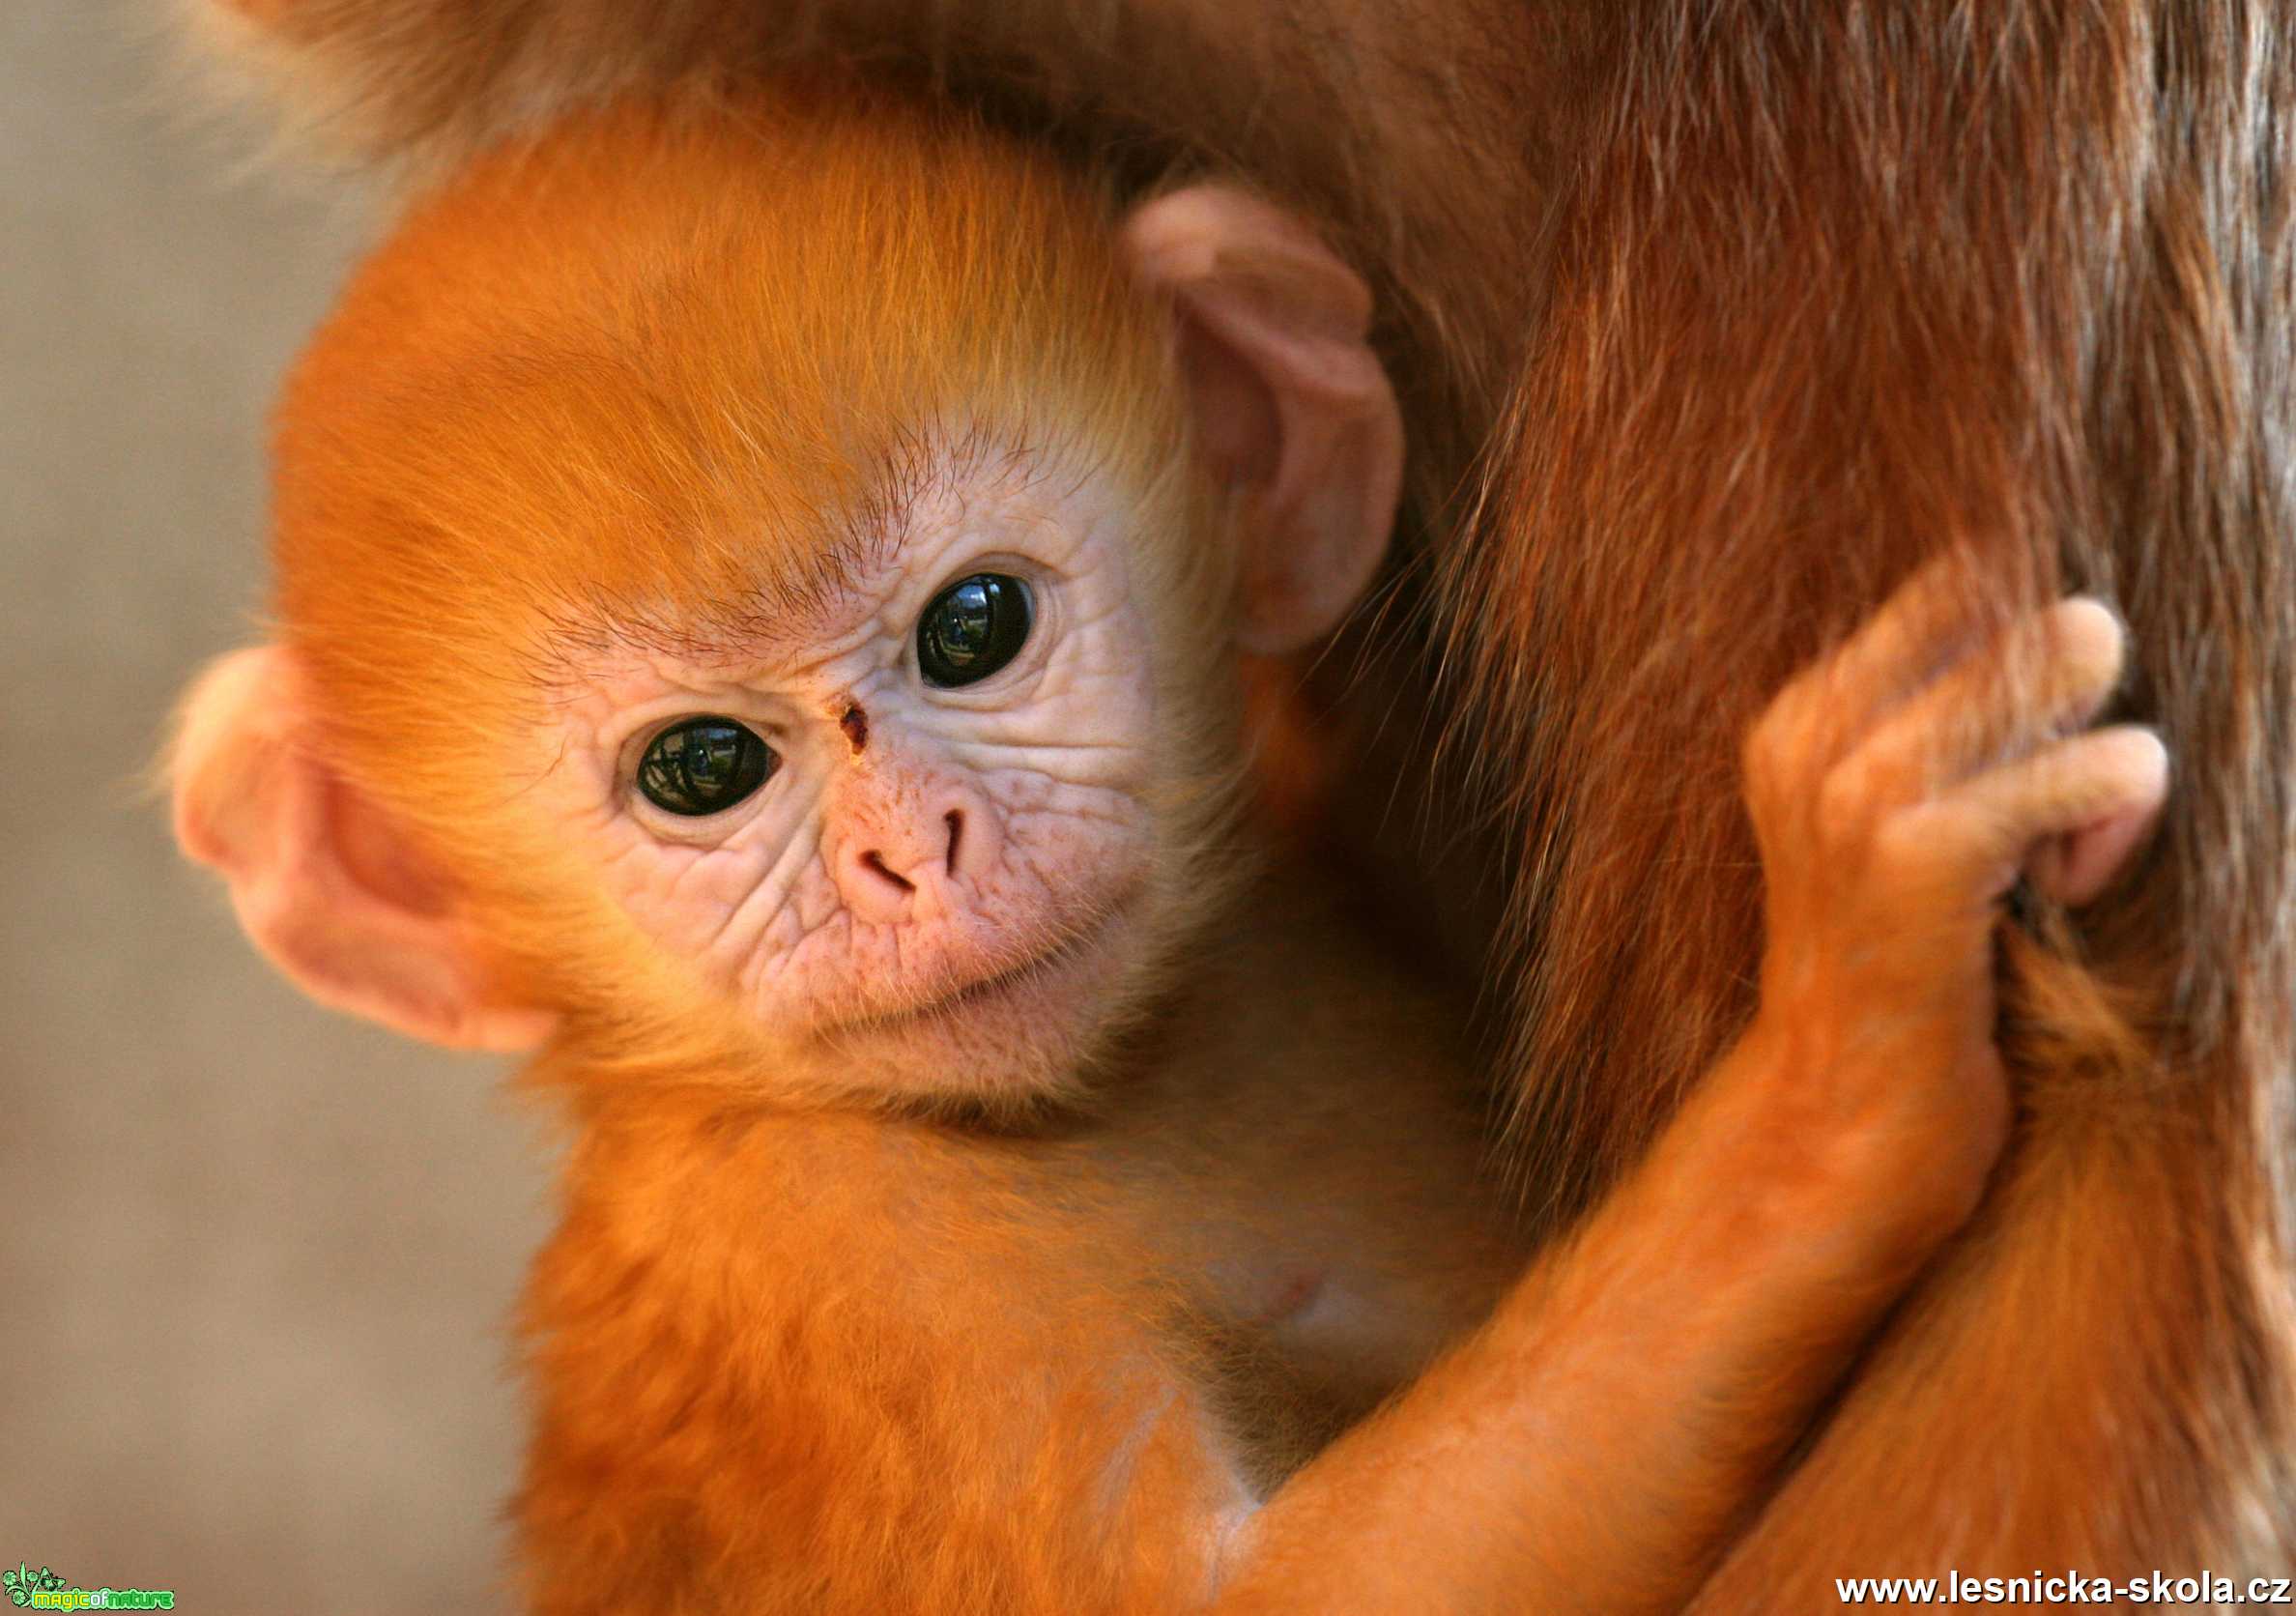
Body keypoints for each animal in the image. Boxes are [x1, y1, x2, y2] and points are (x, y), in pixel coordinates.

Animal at [184, 0, 2296, 1598]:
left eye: (975, 626)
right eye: (701, 769)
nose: (911, 854)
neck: (1118, 1086)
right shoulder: (833, 1256)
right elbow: (1287, 1587)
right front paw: (1843, 1044)